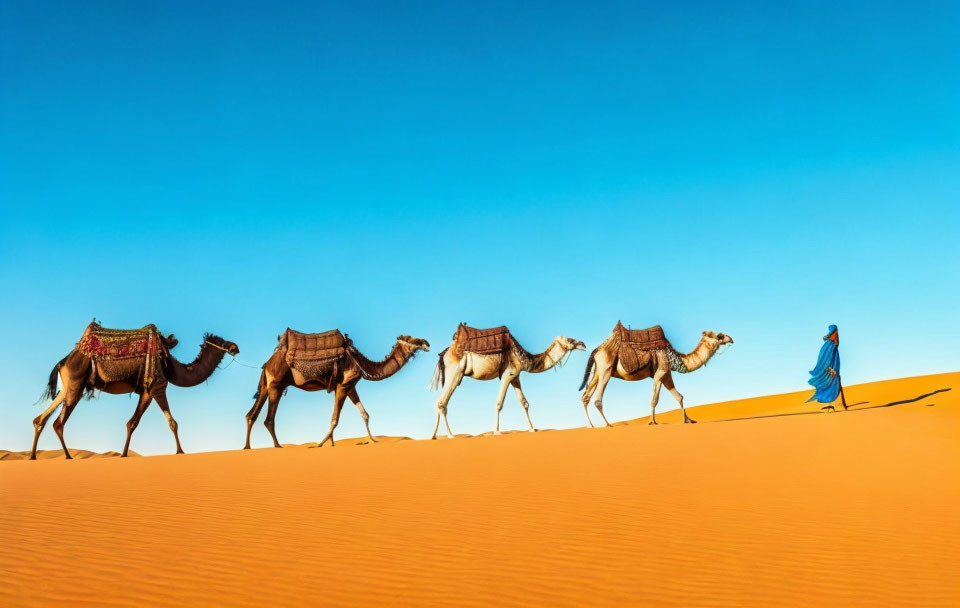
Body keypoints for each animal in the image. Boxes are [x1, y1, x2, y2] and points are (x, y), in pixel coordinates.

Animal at [31, 320, 240, 458]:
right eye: (221, 342)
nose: (235, 347)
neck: (170, 365)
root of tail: (63, 362)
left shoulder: (146, 390)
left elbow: (133, 423)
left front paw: (123, 454)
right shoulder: (157, 387)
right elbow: (169, 422)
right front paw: (180, 451)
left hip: (68, 387)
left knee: (40, 419)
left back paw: (33, 456)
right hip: (76, 385)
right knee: (58, 423)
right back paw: (68, 456)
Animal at [246, 330, 430, 448]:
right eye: (411, 339)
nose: (426, 343)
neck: (360, 362)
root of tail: (268, 362)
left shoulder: (349, 386)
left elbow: (364, 414)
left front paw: (372, 440)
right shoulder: (343, 385)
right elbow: (335, 418)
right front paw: (320, 444)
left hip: (267, 385)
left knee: (251, 415)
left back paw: (247, 447)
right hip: (277, 384)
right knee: (268, 419)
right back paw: (277, 446)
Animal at [430, 326, 584, 440]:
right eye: (570, 339)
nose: (583, 344)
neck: (523, 357)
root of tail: (444, 353)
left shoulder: (515, 377)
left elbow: (524, 403)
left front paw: (532, 429)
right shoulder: (507, 375)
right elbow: (499, 403)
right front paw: (497, 432)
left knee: (441, 403)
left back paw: (434, 436)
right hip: (455, 373)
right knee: (442, 402)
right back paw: (450, 435)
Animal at [576, 328, 736, 428]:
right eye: (720, 335)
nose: (731, 338)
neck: (675, 357)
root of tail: (597, 350)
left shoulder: (666, 375)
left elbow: (679, 396)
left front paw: (688, 420)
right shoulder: (661, 371)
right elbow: (654, 399)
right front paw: (651, 422)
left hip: (597, 371)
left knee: (585, 397)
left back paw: (590, 425)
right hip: (606, 369)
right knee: (597, 400)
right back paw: (608, 424)